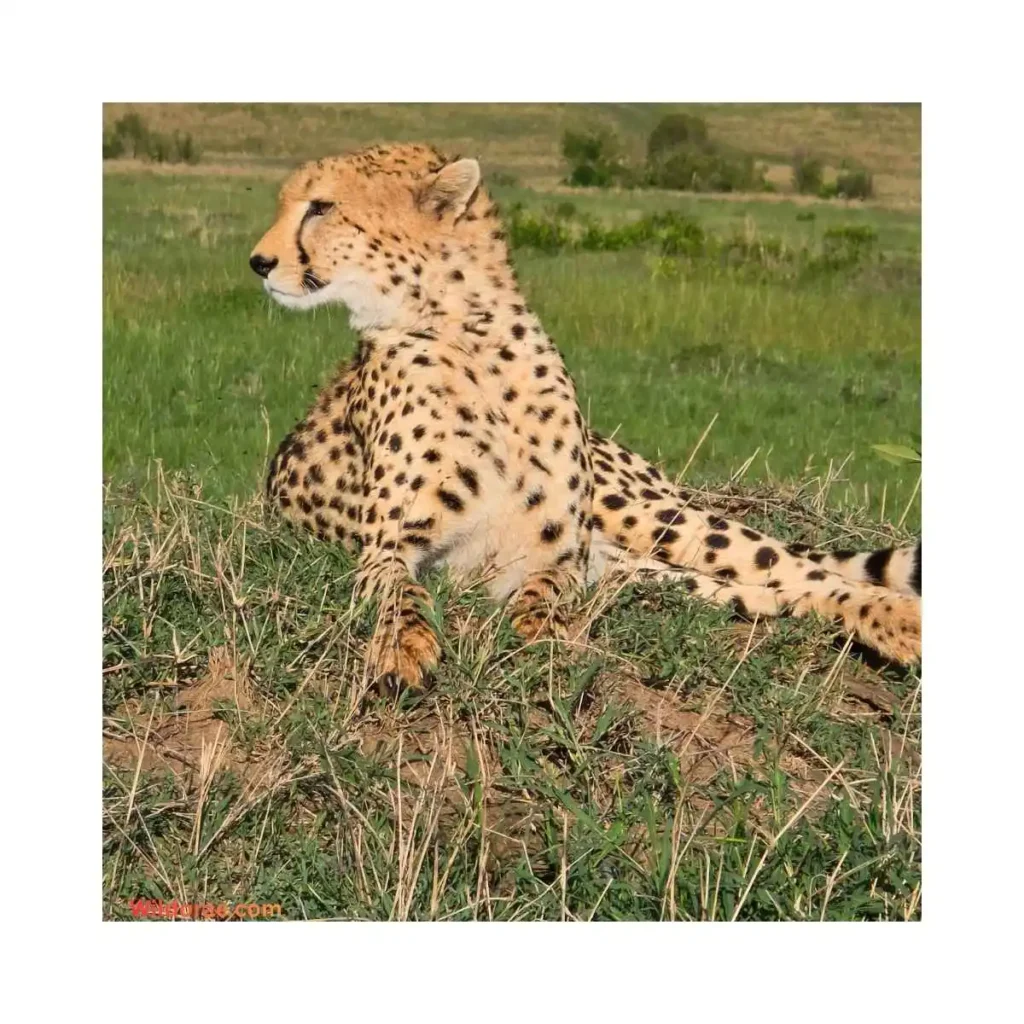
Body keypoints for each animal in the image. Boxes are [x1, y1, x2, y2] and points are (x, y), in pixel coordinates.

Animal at [248, 142, 921, 691]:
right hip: (631, 566)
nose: (258, 261)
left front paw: (543, 630)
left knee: (794, 568)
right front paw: (402, 649)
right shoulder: (392, 549)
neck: (469, 335)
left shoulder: (557, 557)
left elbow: (544, 592)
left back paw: (896, 615)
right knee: (756, 593)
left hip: (647, 517)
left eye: (321, 207)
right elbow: (402, 595)